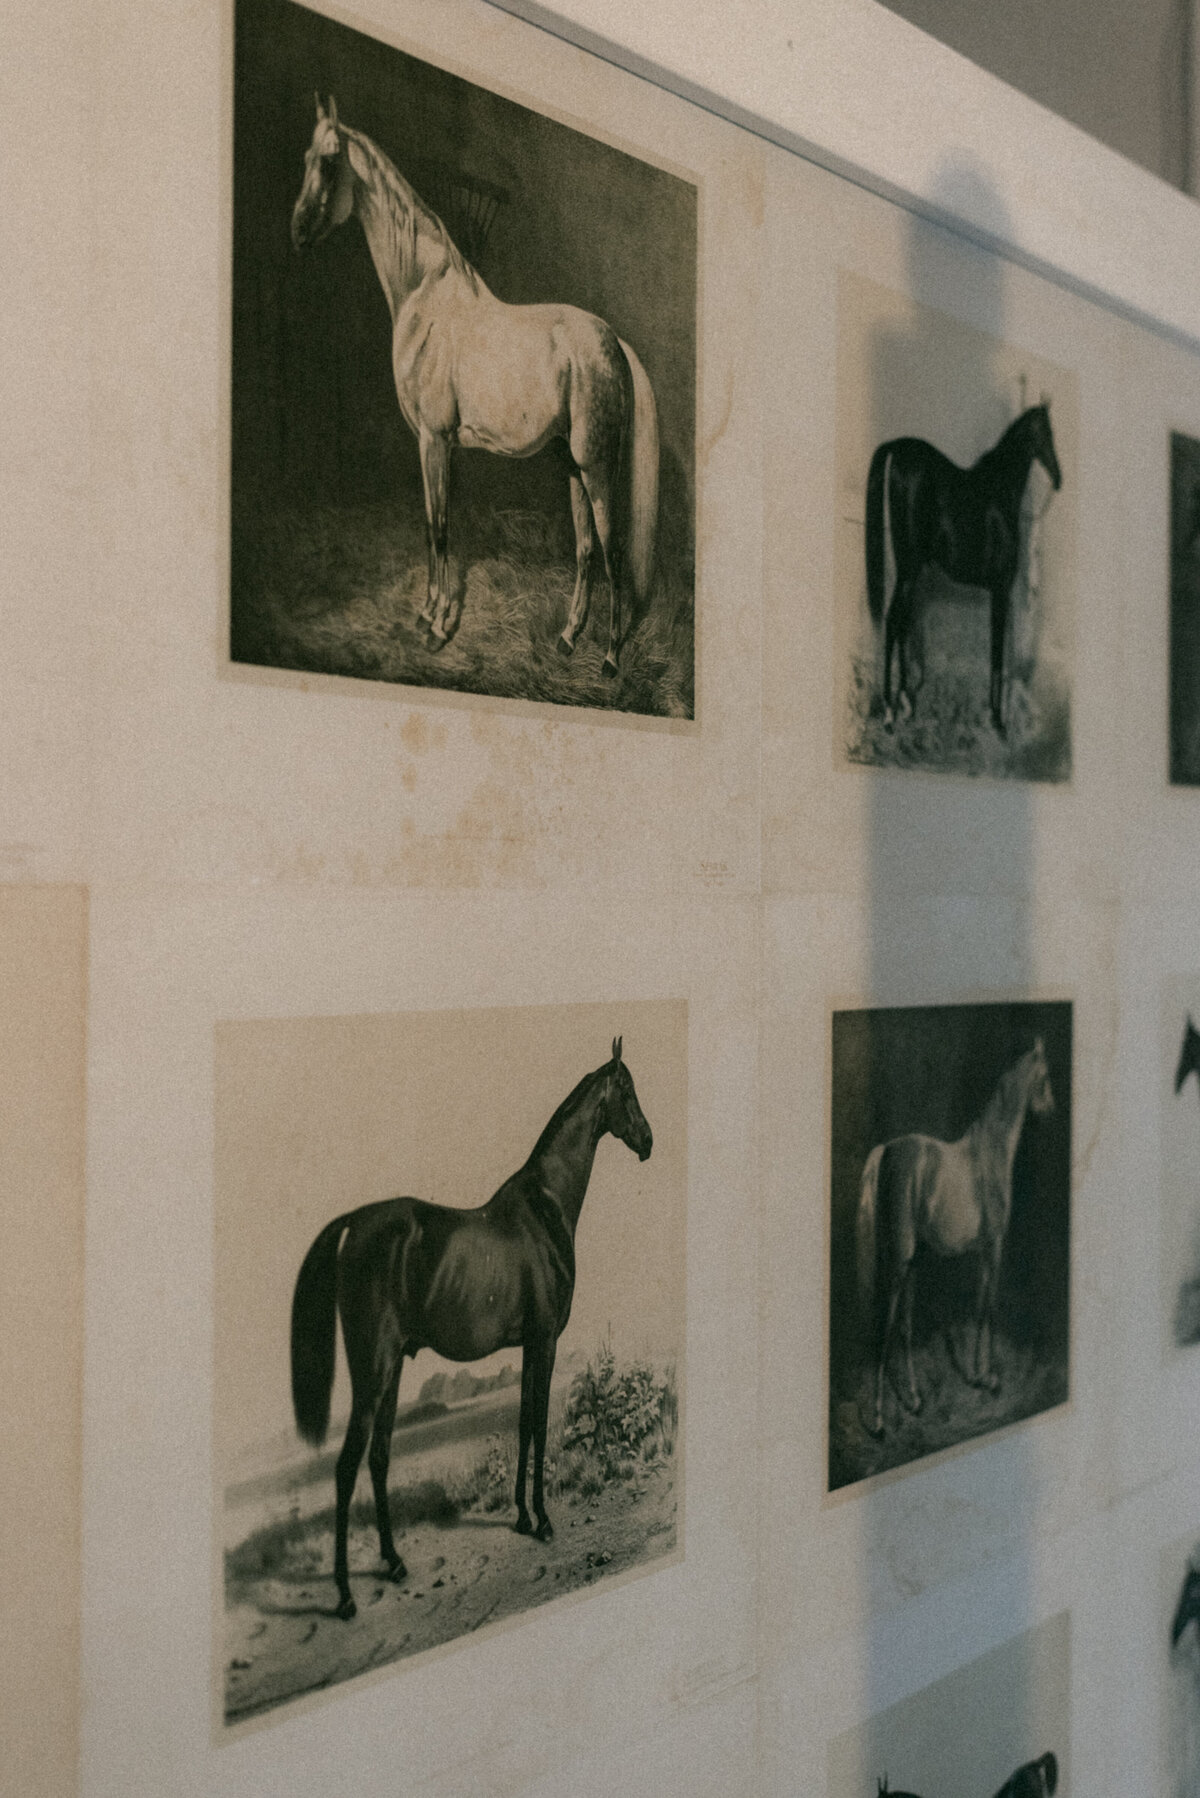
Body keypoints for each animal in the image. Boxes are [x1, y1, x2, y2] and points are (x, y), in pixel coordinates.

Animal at [295, 96, 662, 676]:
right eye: (307, 158)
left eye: (330, 162)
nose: (299, 230)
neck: (425, 301)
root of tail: (613, 340)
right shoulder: (431, 445)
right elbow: (432, 525)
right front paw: (427, 614)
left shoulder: (435, 440)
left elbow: (442, 528)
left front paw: (439, 628)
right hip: (571, 466)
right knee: (585, 549)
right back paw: (566, 638)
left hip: (596, 464)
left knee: (613, 551)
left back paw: (608, 658)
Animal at [859, 1042, 1057, 1431]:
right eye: (1044, 1076)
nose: (1052, 1109)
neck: (989, 1155)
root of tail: (887, 1150)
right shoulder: (995, 1247)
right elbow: (989, 1308)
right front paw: (989, 1378)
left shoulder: (982, 1253)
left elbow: (979, 1305)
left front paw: (978, 1374)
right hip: (901, 1260)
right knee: (886, 1323)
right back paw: (878, 1417)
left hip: (912, 1262)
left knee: (904, 1324)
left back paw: (914, 1399)